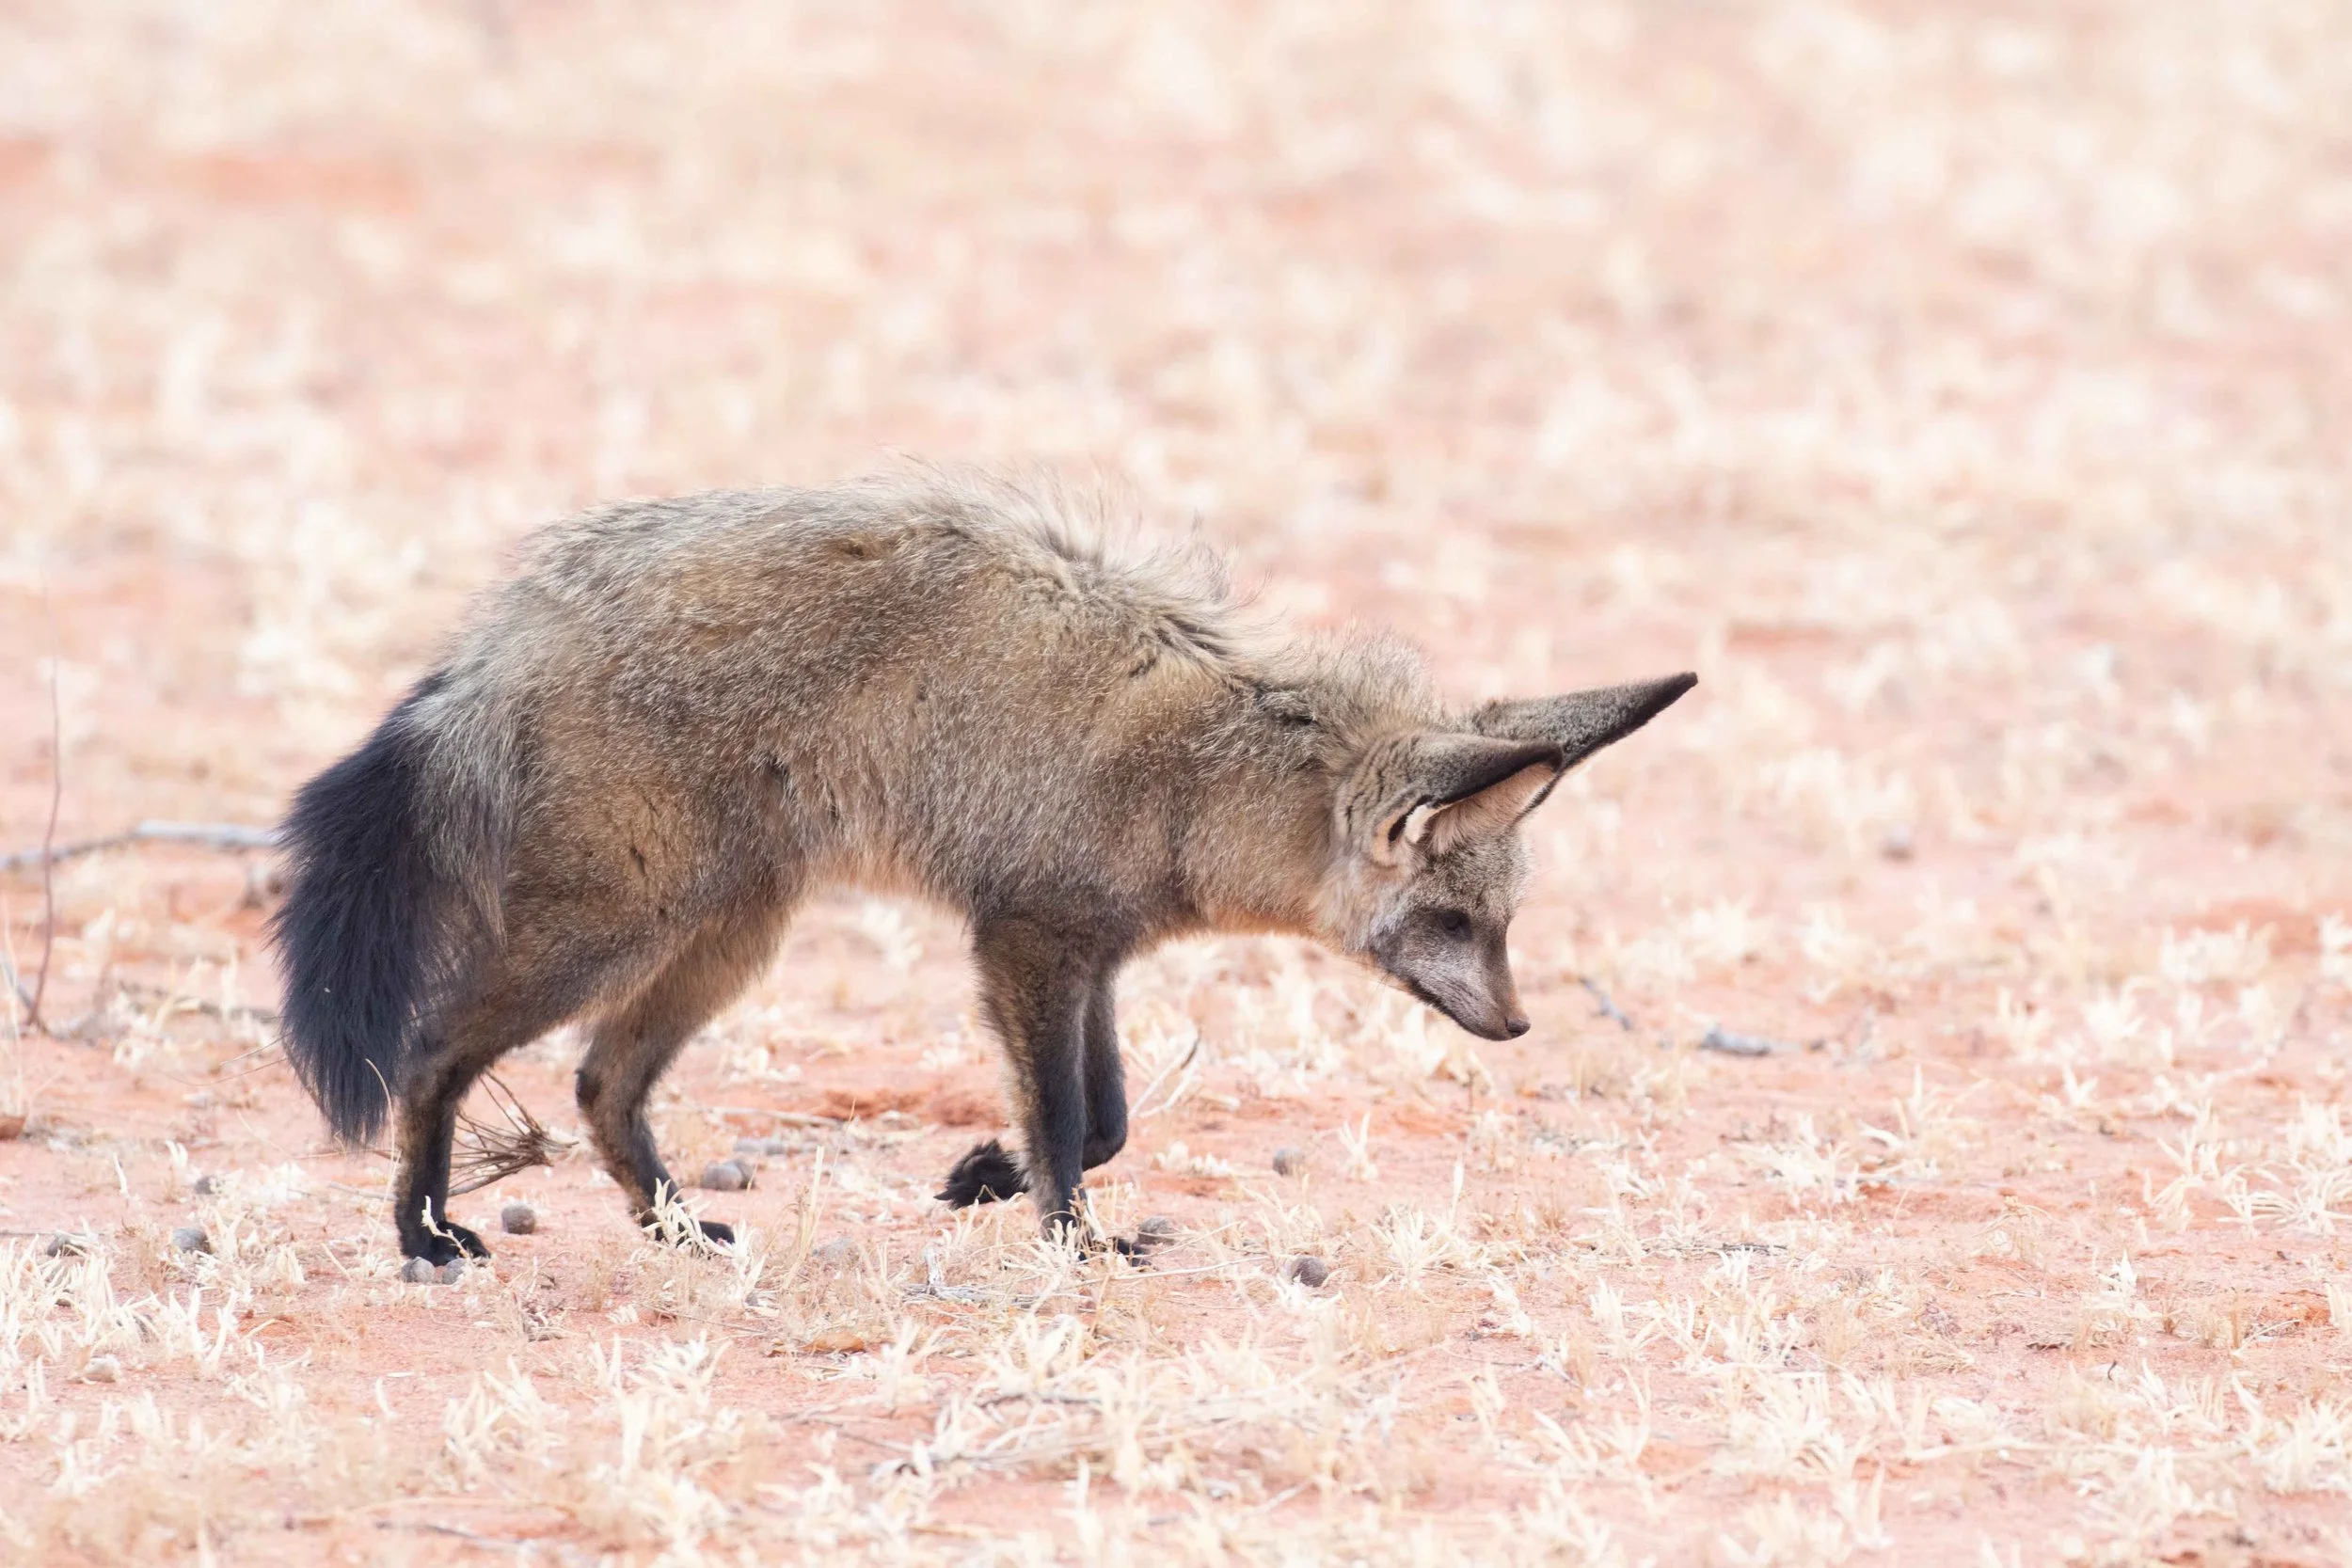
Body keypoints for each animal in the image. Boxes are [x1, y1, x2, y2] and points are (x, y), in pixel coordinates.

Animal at [271, 474, 1693, 1263]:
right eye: (1457, 919)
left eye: (1502, 923)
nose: (1516, 1024)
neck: (1199, 774)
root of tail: (516, 620)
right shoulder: (1023, 937)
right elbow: (1067, 1118)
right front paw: (1067, 1236)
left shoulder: (1087, 953)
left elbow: (1105, 1115)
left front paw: (982, 1176)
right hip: (616, 928)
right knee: (434, 1049)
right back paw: (422, 1232)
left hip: (728, 932)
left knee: (600, 1083)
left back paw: (675, 1232)